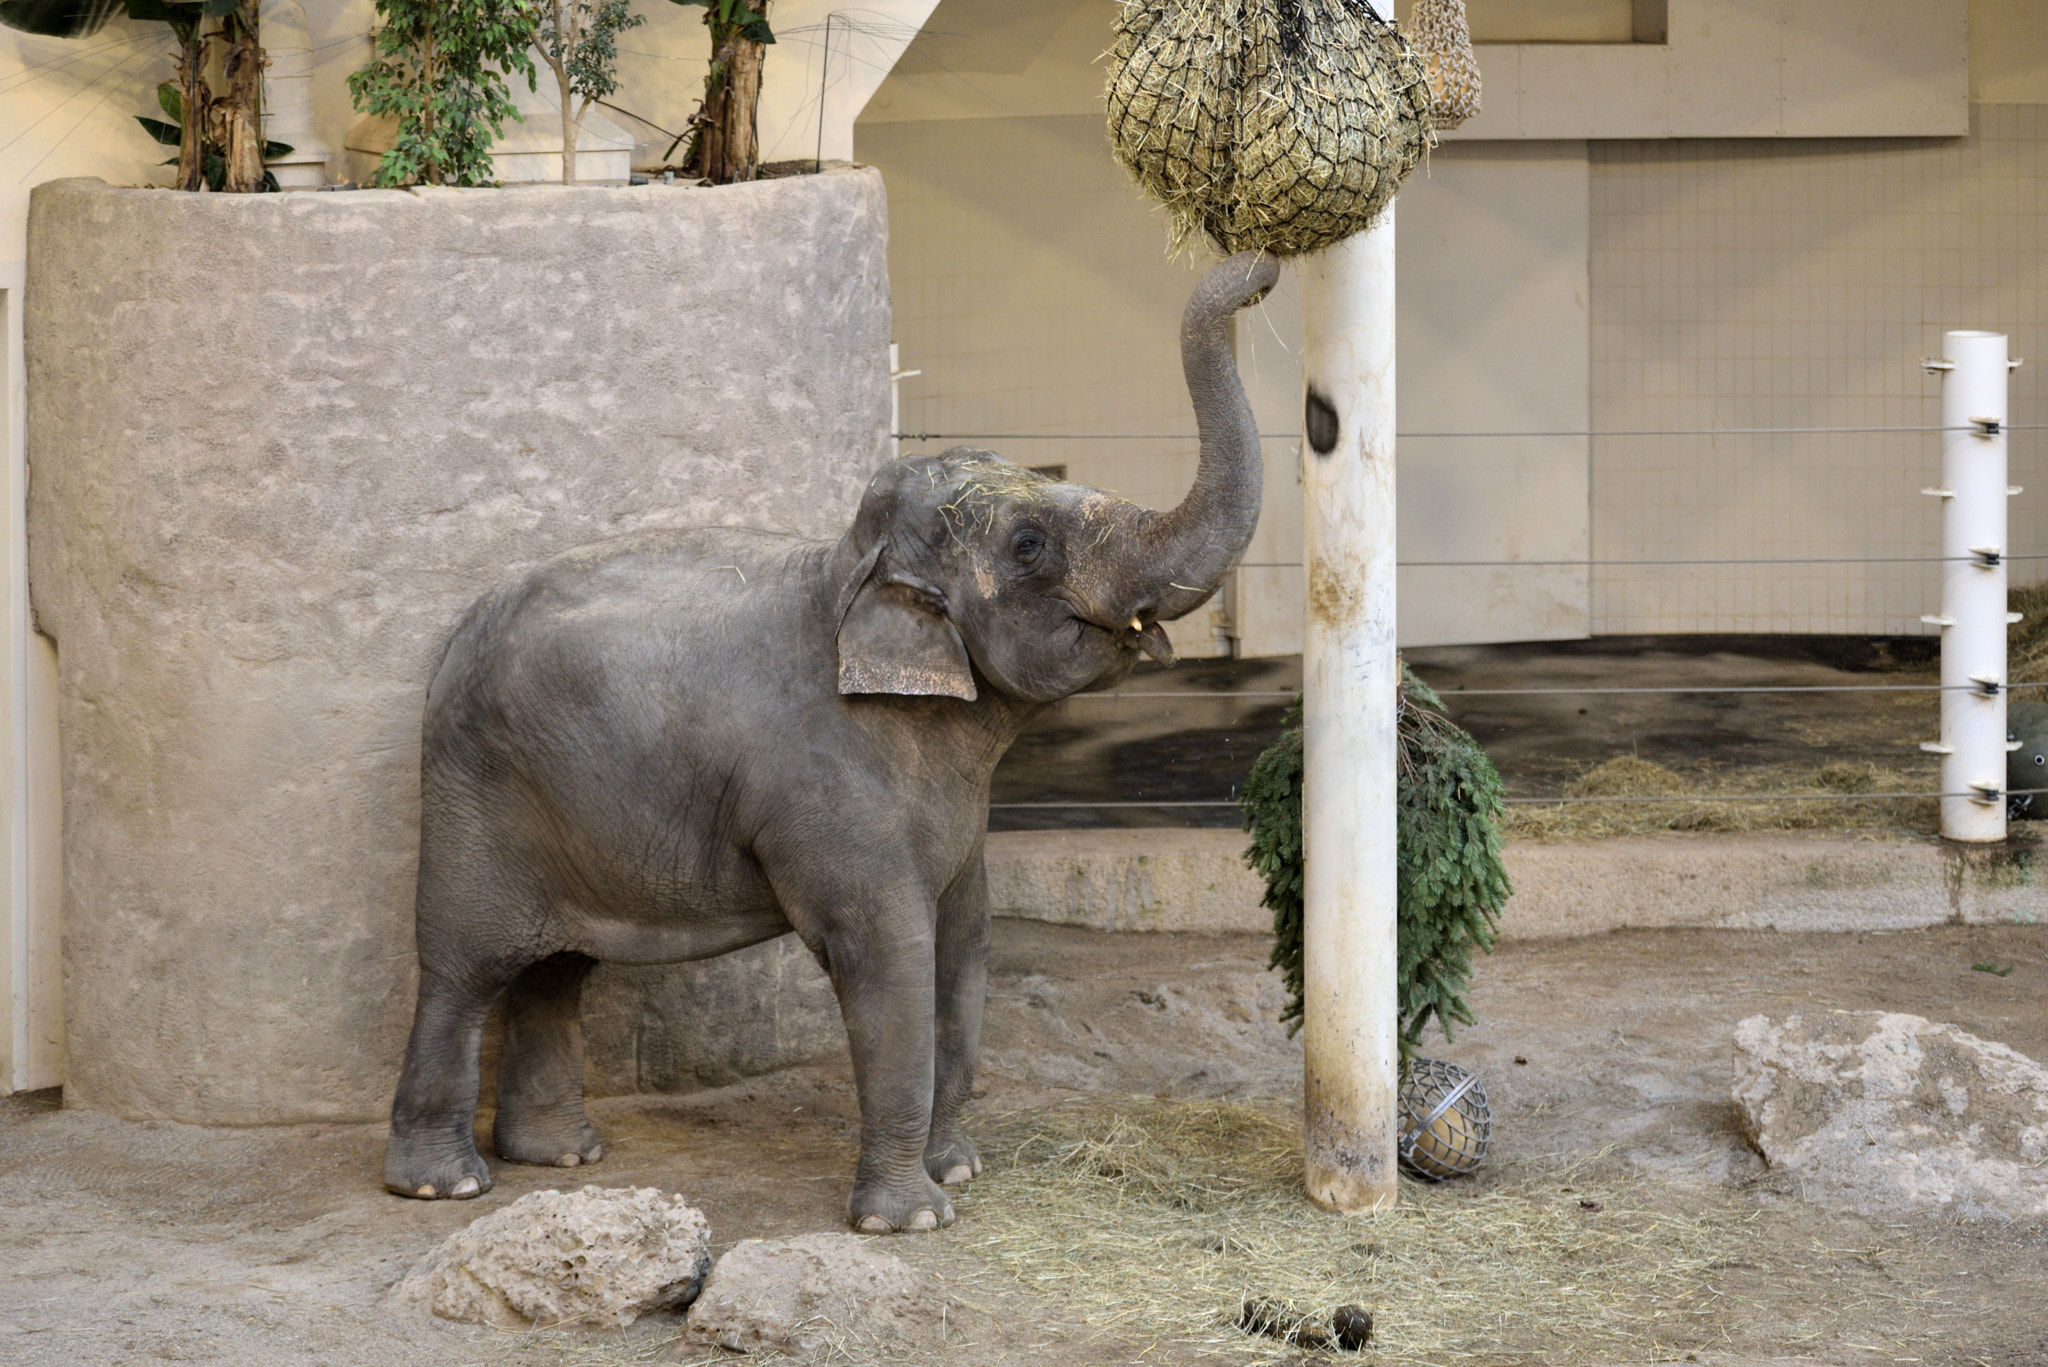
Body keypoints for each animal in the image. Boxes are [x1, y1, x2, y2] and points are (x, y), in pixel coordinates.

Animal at [381, 250, 1282, 1233]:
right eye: (1029, 543)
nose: (1263, 268)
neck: (848, 572)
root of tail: (450, 644)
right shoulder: (830, 785)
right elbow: (888, 953)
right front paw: (912, 1218)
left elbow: (965, 943)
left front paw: (957, 1170)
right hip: (473, 794)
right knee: (465, 966)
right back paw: (444, 1184)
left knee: (556, 969)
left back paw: (563, 1155)